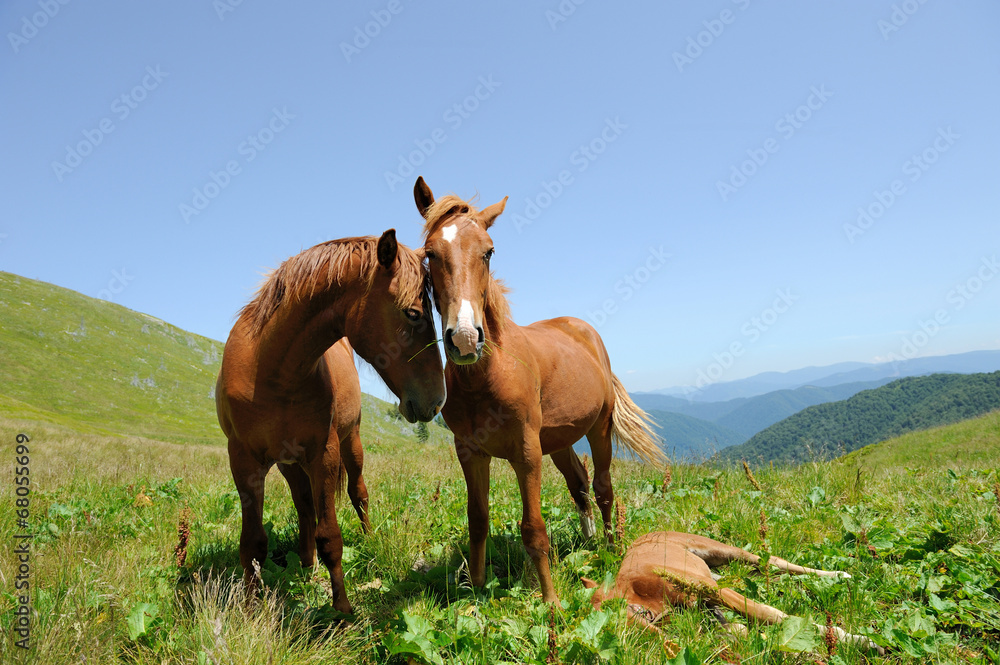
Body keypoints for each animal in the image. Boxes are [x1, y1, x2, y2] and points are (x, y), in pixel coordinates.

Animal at [218, 232, 446, 612]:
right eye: (413, 313)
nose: (438, 399)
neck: (272, 370)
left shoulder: (323, 454)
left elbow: (330, 536)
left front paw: (342, 611)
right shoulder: (244, 462)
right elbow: (252, 543)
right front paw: (250, 608)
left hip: (350, 445)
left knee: (358, 494)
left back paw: (367, 540)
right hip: (288, 464)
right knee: (304, 508)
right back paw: (306, 564)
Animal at [410, 176, 668, 600]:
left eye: (488, 252)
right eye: (430, 254)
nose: (464, 339)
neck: (488, 377)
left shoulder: (526, 453)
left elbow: (533, 528)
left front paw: (550, 601)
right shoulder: (470, 452)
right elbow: (477, 519)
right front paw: (476, 588)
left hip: (598, 429)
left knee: (602, 487)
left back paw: (611, 549)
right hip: (559, 441)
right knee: (579, 484)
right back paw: (589, 541)